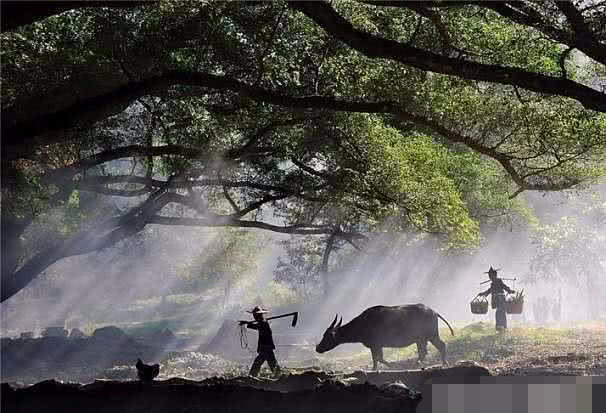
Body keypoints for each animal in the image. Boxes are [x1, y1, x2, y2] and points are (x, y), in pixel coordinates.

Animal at [316, 304, 454, 368]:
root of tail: (434, 311)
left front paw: (390, 366)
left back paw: (442, 363)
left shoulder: (375, 345)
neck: (362, 324)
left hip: (430, 335)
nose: (317, 348)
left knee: (438, 346)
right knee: (425, 351)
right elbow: (378, 358)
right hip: (422, 339)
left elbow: (377, 359)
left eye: (327, 336)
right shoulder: (377, 346)